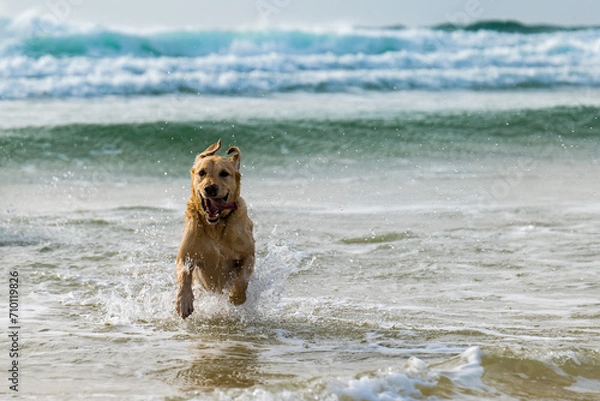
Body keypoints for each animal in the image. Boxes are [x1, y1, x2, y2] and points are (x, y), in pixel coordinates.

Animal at [176, 139, 255, 318]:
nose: (210, 188)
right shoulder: (185, 255)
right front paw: (184, 301)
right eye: (202, 173)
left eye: (224, 173)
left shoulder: (248, 254)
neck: (215, 226)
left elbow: (243, 276)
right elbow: (184, 273)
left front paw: (236, 296)